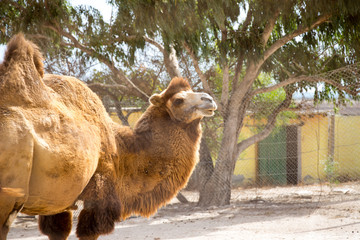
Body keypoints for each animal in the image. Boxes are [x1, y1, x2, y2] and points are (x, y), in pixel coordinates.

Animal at [0, 34, 217, 240]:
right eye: (179, 100)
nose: (209, 99)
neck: (121, 149)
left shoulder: (57, 200)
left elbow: (57, 230)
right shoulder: (100, 191)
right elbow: (89, 230)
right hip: (8, 194)